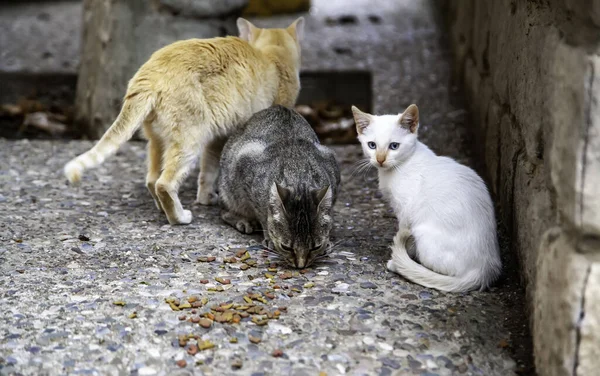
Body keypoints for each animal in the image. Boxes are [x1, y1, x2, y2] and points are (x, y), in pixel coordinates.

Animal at [64, 16, 304, 223]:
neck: (271, 57)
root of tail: (149, 75)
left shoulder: (217, 138)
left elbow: (208, 170)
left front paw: (205, 198)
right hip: (189, 141)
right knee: (164, 183)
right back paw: (178, 217)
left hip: (159, 141)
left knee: (152, 179)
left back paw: (162, 208)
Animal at [219, 105, 342, 268]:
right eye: (286, 247)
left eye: (315, 247)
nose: (300, 266)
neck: (298, 175)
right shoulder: (245, 164)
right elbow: (263, 215)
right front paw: (270, 238)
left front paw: (327, 241)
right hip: (229, 190)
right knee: (224, 212)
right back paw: (243, 221)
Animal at [352, 104, 502, 292]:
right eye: (372, 145)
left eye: (394, 146)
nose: (380, 159)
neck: (400, 166)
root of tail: (485, 268)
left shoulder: (406, 212)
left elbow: (405, 236)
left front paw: (398, 260)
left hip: (423, 234)